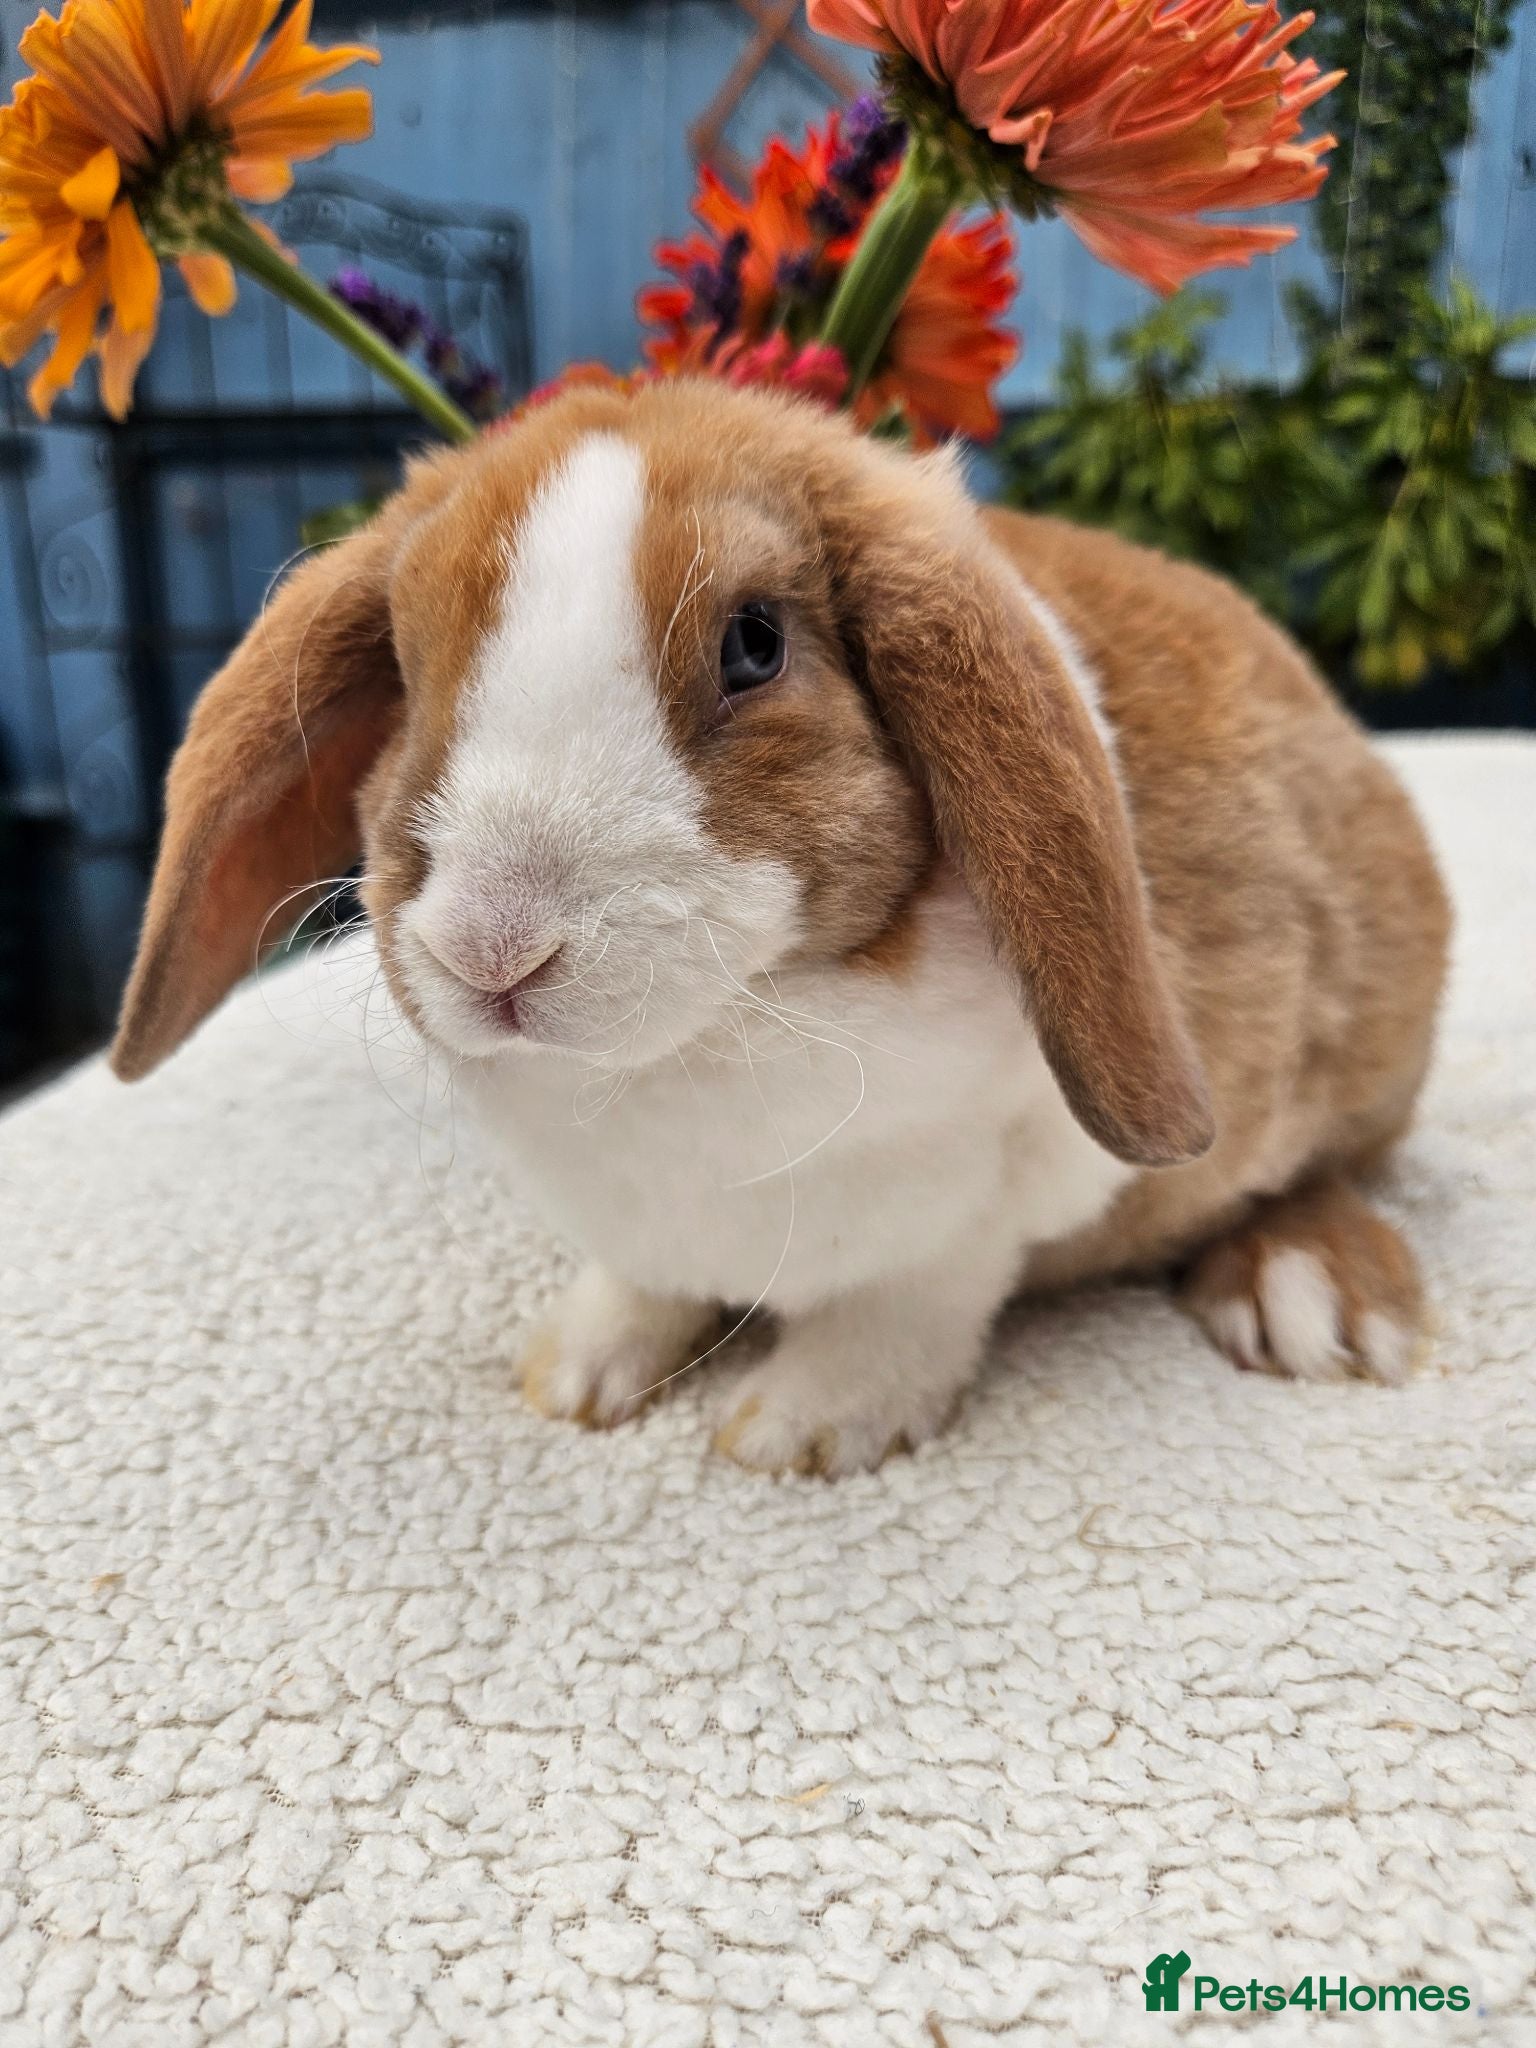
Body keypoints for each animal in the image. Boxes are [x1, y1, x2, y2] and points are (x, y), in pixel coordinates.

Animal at [111, 378, 1451, 1476]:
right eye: (404, 660)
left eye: (754, 643)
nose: (494, 947)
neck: (686, 1055)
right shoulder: (644, 1230)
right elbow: (640, 1291)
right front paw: (576, 1374)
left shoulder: (970, 1215)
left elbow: (902, 1309)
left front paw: (799, 1431)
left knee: (1318, 1169)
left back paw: (1314, 1300)